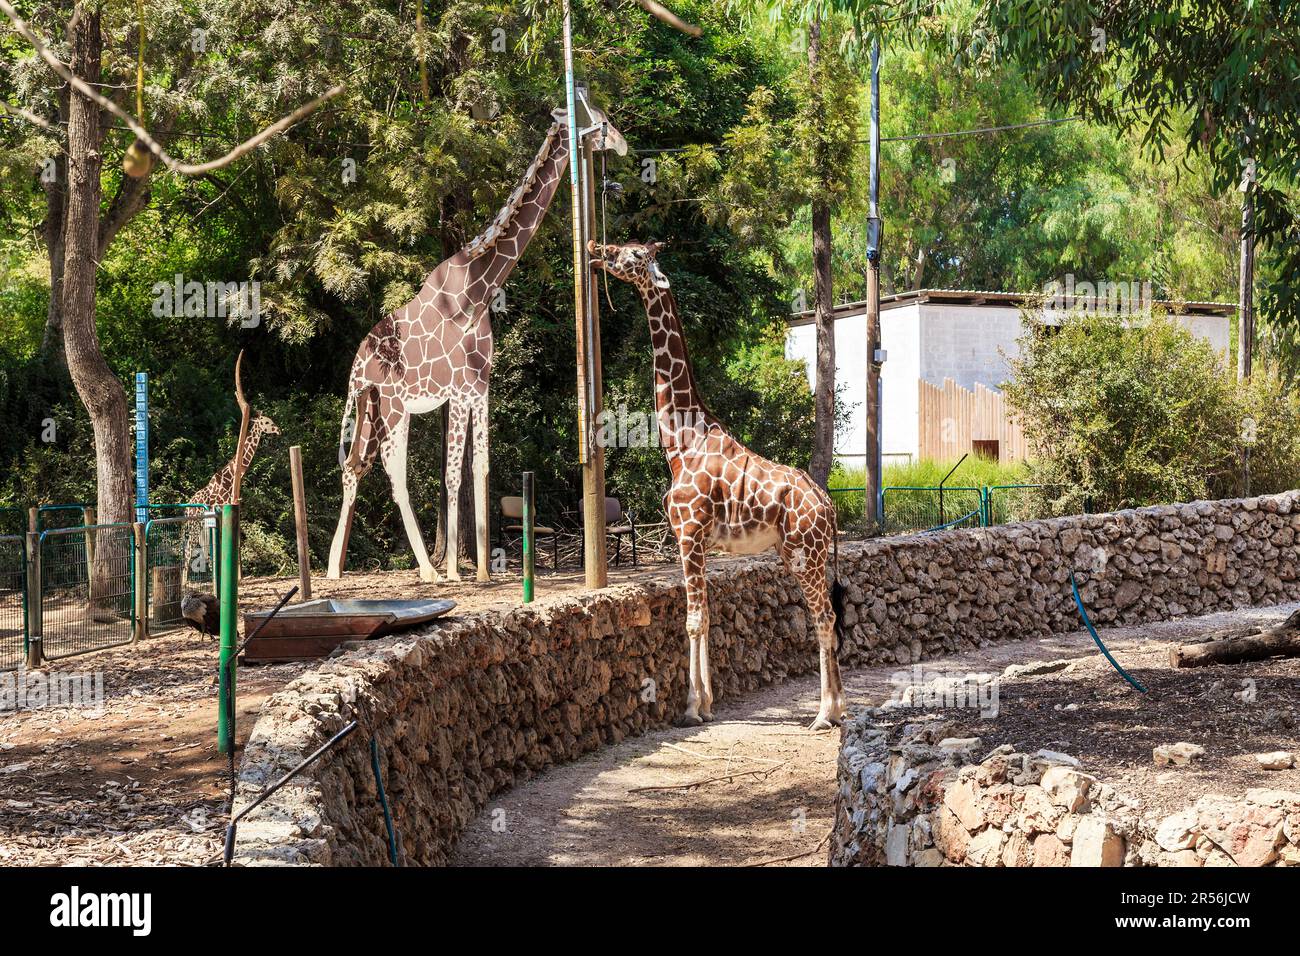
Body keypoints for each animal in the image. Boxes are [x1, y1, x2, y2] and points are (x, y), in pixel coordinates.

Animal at [328, 105, 627, 582]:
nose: (621, 142)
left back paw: (334, 568)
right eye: (592, 116)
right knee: (394, 472)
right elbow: (452, 475)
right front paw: (454, 571)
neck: (479, 289)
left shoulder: (479, 388)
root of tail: (356, 363)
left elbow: (479, 468)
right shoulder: (457, 389)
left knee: (355, 466)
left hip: (372, 406)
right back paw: (426, 571)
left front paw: (484, 571)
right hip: (390, 404)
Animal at [589, 240, 848, 730]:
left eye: (634, 255)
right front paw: (707, 702)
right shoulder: (700, 543)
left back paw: (825, 714)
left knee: (824, 618)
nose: (597, 249)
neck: (680, 442)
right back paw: (839, 708)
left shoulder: (687, 533)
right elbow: (706, 616)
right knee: (825, 616)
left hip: (805, 552)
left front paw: (691, 707)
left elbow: (692, 619)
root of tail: (828, 505)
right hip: (797, 552)